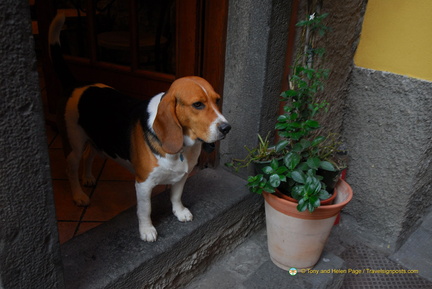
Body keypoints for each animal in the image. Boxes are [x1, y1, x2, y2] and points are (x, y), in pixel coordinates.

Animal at [49, 14, 231, 241]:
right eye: (198, 104)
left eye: (217, 100)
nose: (227, 128)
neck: (182, 148)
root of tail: (76, 85)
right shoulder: (143, 184)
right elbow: (145, 210)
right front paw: (147, 230)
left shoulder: (182, 175)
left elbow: (177, 195)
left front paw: (180, 212)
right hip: (74, 143)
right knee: (71, 167)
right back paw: (78, 194)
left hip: (98, 140)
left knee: (90, 155)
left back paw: (89, 177)